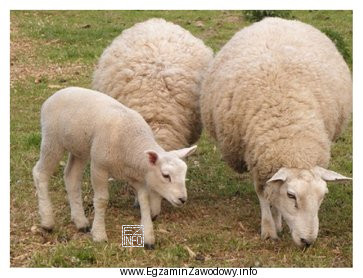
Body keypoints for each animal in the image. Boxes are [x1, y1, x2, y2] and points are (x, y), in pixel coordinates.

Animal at [32, 86, 198, 248]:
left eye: (184, 174)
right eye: (166, 175)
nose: (182, 199)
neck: (133, 144)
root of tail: (55, 94)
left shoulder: (138, 178)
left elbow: (144, 201)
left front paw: (148, 237)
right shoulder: (99, 167)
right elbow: (101, 200)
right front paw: (99, 234)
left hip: (79, 148)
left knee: (71, 177)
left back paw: (80, 222)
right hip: (52, 140)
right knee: (40, 173)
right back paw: (47, 221)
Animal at [200, 17, 354, 248]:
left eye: (322, 196)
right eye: (291, 196)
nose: (307, 241)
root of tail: (274, 19)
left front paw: (278, 221)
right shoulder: (258, 160)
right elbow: (264, 194)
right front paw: (269, 229)